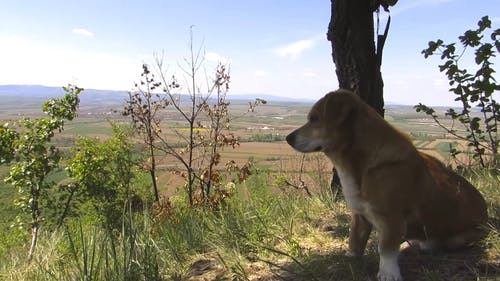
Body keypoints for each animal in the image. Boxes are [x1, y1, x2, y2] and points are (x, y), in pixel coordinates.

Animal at [286, 89, 488, 280]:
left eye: (315, 119)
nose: (288, 138)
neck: (360, 167)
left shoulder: (391, 218)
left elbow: (386, 249)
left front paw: (388, 273)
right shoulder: (359, 216)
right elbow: (354, 241)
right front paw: (350, 260)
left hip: (460, 238)